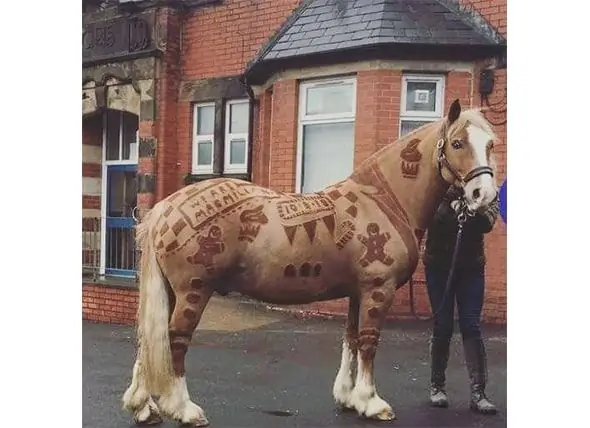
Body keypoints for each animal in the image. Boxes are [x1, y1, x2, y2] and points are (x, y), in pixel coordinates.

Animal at [121, 99, 500, 424]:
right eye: (457, 143)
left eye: (491, 144)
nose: (483, 195)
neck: (383, 200)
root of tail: (165, 209)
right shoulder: (378, 289)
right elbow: (369, 342)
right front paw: (372, 402)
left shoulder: (357, 292)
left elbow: (351, 338)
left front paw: (349, 397)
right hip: (193, 292)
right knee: (175, 341)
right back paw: (184, 408)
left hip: (172, 292)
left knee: (152, 342)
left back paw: (144, 408)